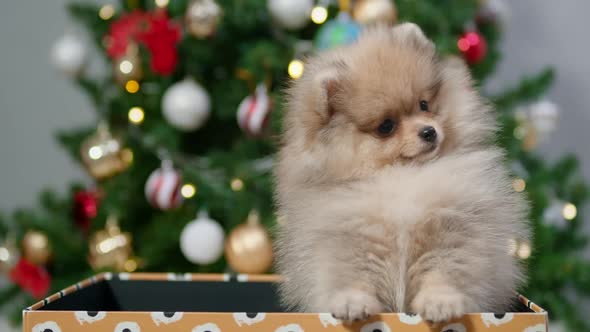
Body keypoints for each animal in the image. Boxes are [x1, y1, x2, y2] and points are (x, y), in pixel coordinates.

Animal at [276, 24, 532, 324]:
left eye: (423, 105)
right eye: (386, 126)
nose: (429, 132)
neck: (402, 176)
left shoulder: (452, 230)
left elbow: (445, 271)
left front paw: (441, 303)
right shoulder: (348, 240)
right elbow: (351, 276)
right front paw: (352, 303)